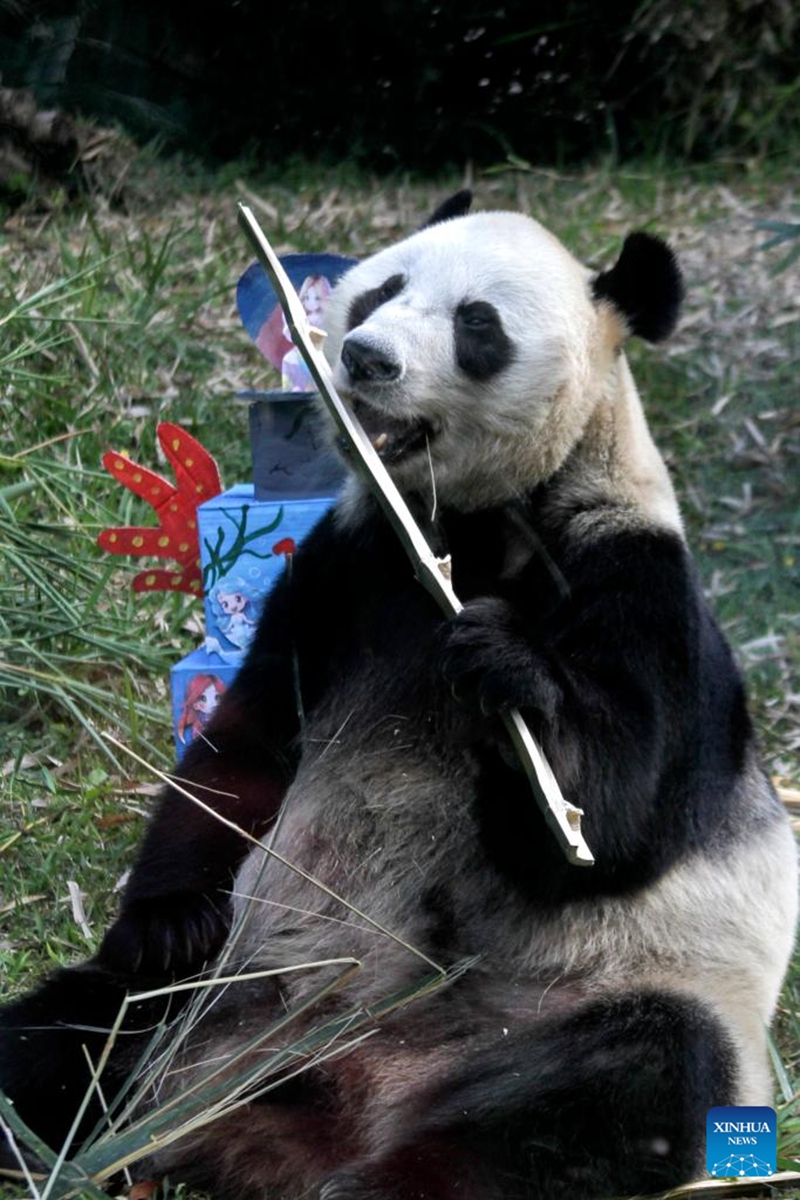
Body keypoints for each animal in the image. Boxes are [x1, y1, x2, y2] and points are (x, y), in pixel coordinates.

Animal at [0, 196, 796, 1200]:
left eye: (478, 325)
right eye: (383, 288)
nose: (364, 358)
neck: (459, 530)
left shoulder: (636, 584)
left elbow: (609, 827)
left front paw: (506, 671)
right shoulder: (342, 571)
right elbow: (246, 747)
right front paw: (169, 918)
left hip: (576, 1006)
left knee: (626, 1080)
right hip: (221, 994)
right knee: (72, 1027)